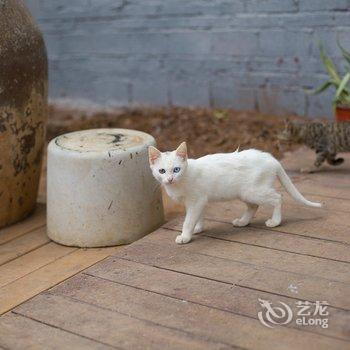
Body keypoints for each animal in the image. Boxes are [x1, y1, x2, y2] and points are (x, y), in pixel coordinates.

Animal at [148, 142, 322, 243]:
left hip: (254, 191)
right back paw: (243, 222)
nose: (170, 179)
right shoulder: (200, 201)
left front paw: (185, 236)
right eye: (162, 171)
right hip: (244, 193)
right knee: (253, 206)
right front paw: (198, 228)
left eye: (176, 169)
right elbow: (198, 217)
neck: (181, 180)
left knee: (278, 197)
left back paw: (275, 221)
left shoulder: (196, 201)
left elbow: (188, 220)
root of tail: (271, 158)